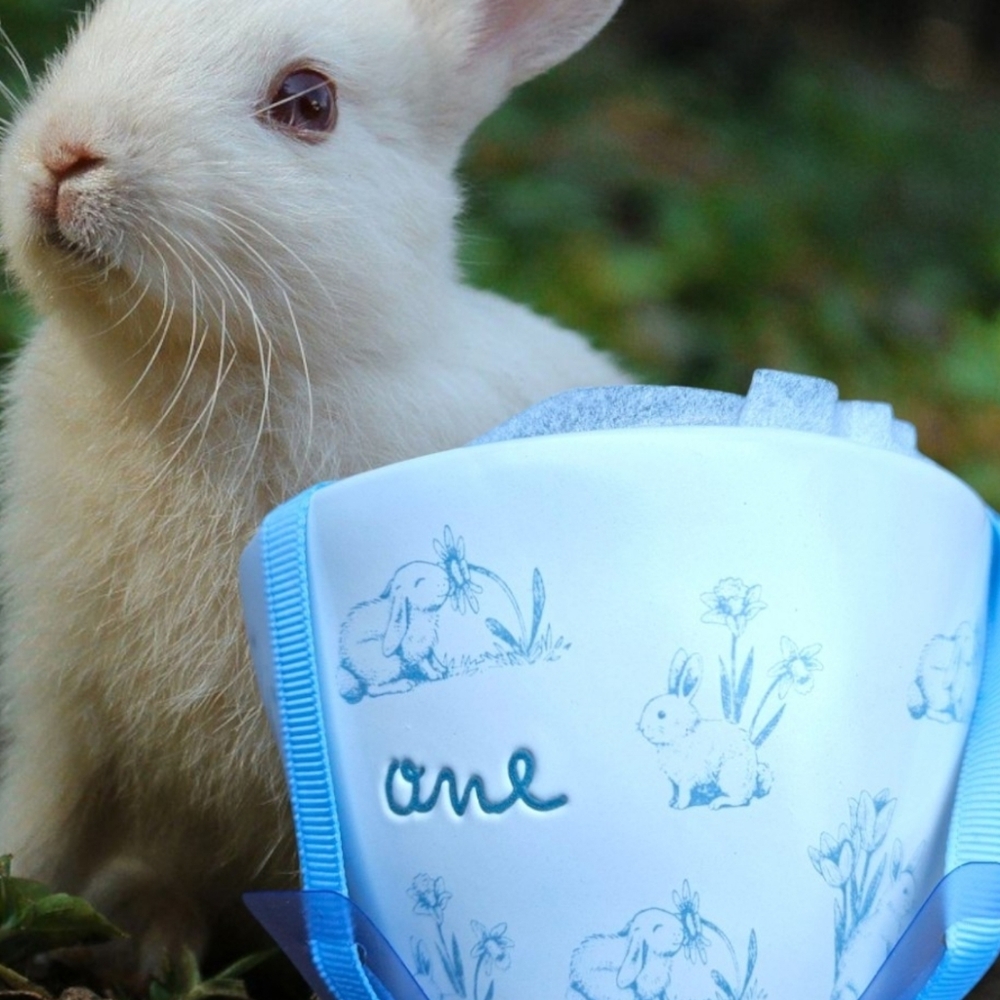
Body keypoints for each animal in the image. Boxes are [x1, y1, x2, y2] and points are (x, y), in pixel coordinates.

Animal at [338, 560, 452, 701]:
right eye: (419, 581)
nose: (446, 579)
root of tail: (348, 666)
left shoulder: (426, 643)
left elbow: (432, 656)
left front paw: (443, 668)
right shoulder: (413, 647)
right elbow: (423, 662)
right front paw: (435, 675)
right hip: (389, 662)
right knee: (372, 689)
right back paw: (404, 684)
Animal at [639, 652, 772, 809]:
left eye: (661, 714)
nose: (641, 728)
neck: (682, 735)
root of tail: (754, 777)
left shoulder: (686, 777)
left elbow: (684, 794)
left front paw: (679, 806)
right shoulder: (674, 781)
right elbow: (675, 791)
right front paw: (672, 802)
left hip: (729, 776)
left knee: (741, 799)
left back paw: (717, 803)